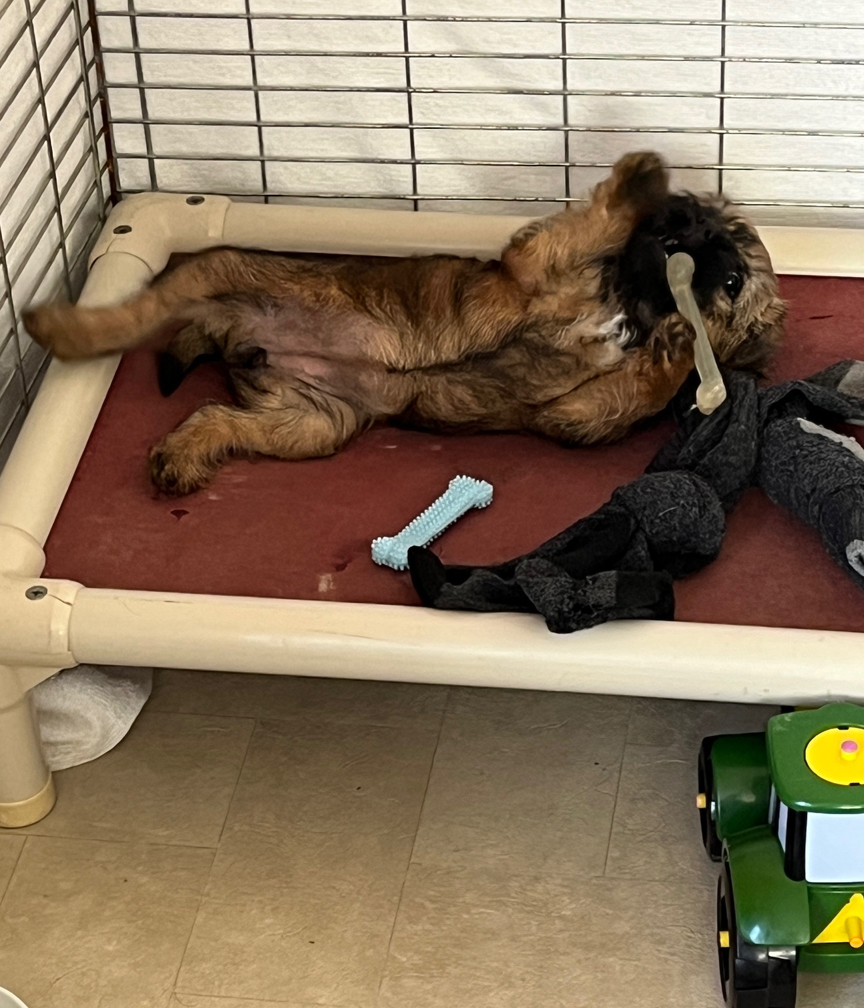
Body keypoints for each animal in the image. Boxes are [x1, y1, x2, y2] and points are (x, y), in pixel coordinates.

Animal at [24, 152, 785, 497]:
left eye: (733, 281)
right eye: (689, 218)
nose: (679, 222)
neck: (627, 299)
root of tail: (238, 343)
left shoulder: (578, 414)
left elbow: (626, 390)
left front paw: (680, 346)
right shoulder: (533, 264)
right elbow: (596, 216)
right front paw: (642, 177)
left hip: (311, 425)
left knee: (216, 415)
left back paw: (182, 454)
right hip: (221, 273)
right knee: (137, 312)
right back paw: (58, 328)